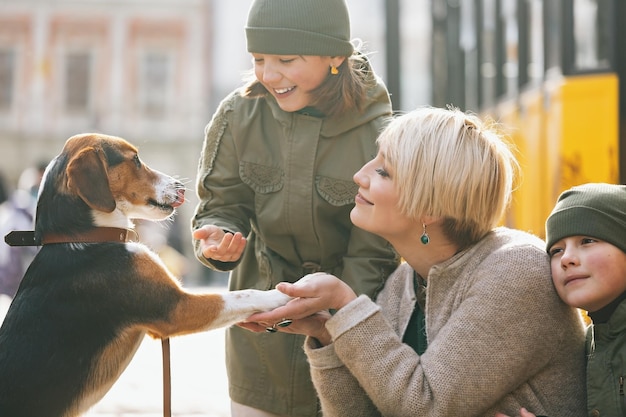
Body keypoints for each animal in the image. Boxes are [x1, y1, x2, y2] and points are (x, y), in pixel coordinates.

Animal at [0, 133, 290, 416]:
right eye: (136, 160)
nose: (182, 187)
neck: (82, 236)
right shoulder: (177, 308)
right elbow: (245, 295)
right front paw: (281, 295)